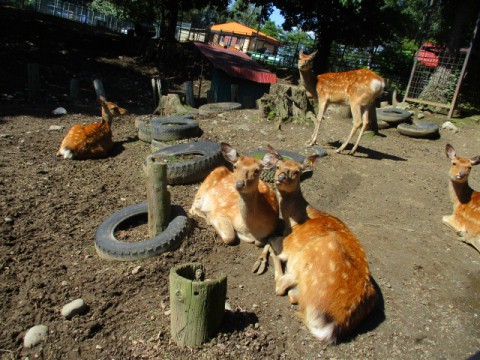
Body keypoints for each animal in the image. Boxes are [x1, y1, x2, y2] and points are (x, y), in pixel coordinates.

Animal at [256, 146, 376, 344]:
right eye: (279, 166)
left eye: (296, 171)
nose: (281, 177)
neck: (293, 222)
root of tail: (332, 327)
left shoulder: (288, 243)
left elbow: (270, 238)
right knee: (293, 294)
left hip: (306, 257)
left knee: (282, 286)